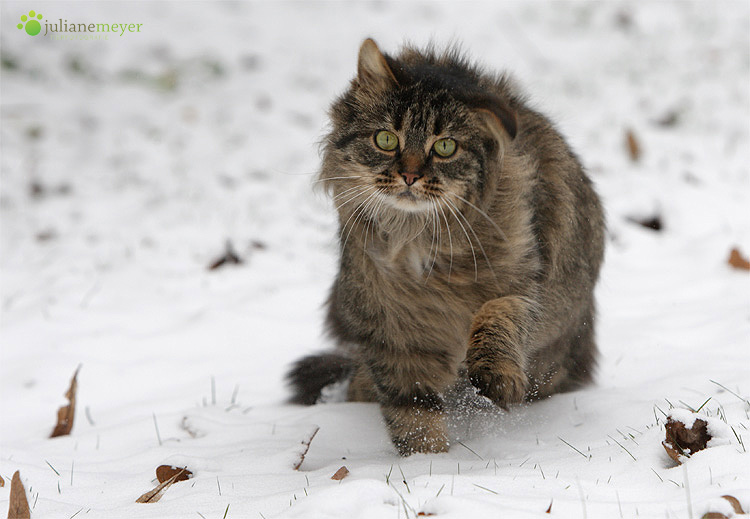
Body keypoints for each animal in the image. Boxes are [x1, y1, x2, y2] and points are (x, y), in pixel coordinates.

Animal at [284, 39, 608, 456]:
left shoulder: (530, 289)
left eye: (445, 147)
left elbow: (496, 317)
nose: (409, 175)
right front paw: (426, 463)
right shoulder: (392, 330)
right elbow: (413, 415)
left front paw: (494, 376)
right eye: (386, 139)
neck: (417, 241)